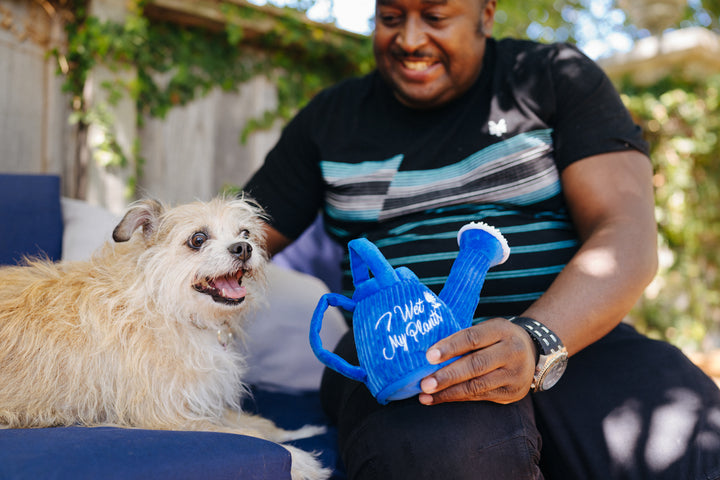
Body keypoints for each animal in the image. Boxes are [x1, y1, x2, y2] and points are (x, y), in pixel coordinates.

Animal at [0, 196, 332, 480]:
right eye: (198, 239)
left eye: (245, 232)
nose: (244, 248)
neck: (163, 304)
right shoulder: (164, 417)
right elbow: (246, 435)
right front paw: (299, 459)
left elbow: (255, 424)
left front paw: (301, 431)